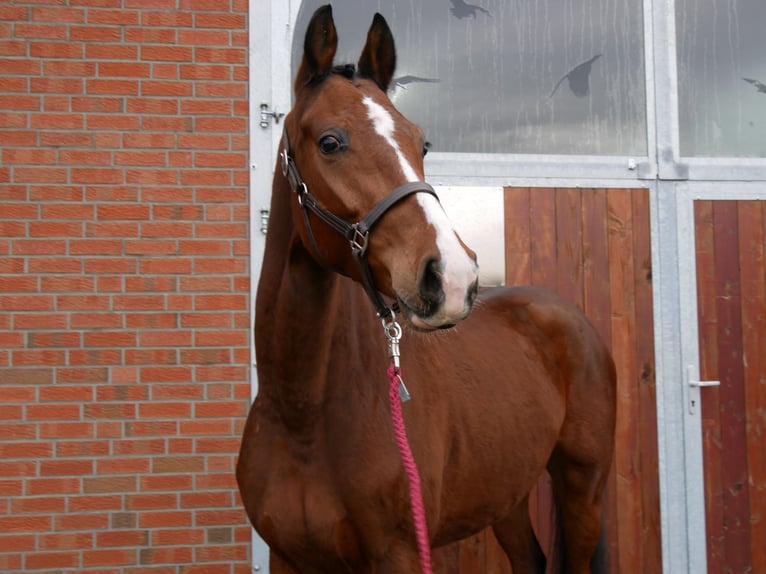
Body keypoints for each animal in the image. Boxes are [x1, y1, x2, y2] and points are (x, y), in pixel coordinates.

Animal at [237, 5, 620, 574]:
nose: (454, 277)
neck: (302, 414)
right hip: (504, 492)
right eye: (330, 142)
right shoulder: (288, 557)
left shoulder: (398, 551)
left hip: (583, 489)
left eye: (421, 142)